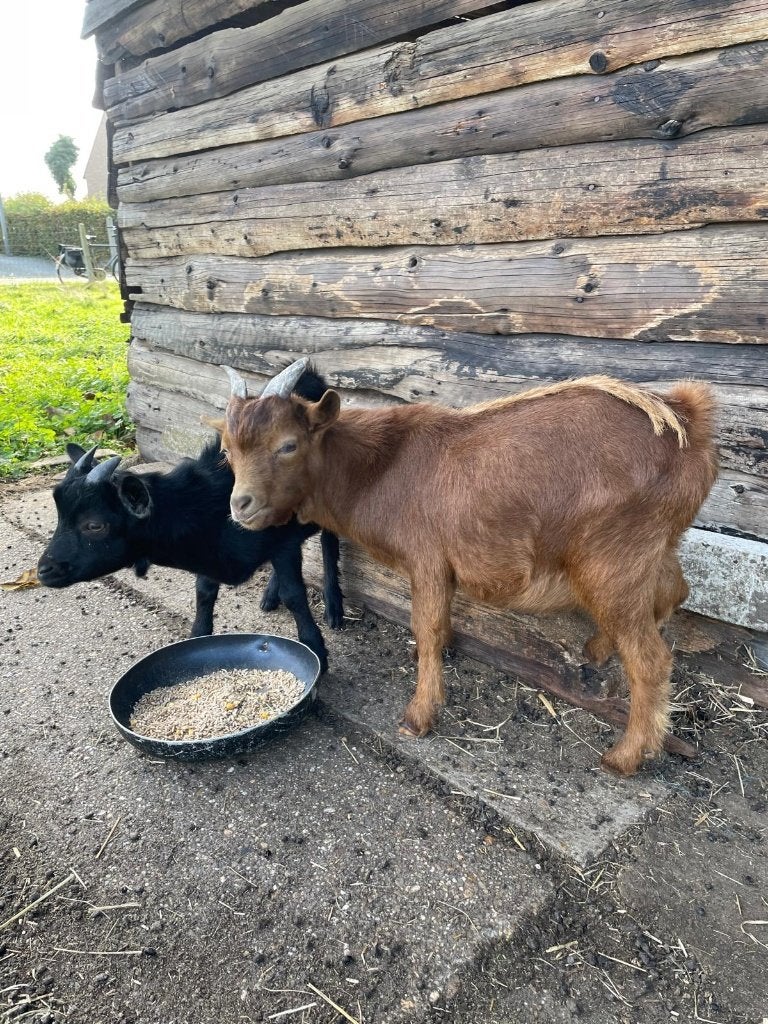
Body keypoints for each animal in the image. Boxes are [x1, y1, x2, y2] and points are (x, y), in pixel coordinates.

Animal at [38, 369, 344, 672]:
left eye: (94, 525)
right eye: (59, 517)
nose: (44, 570)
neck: (211, 504)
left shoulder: (282, 544)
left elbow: (295, 595)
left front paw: (316, 649)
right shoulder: (210, 548)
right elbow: (204, 592)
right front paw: (198, 636)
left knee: (329, 543)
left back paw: (334, 608)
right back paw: (270, 595)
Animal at [217, 359, 718, 776]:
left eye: (288, 445)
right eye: (227, 450)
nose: (240, 506)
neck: (382, 465)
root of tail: (687, 422)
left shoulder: (428, 560)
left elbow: (428, 626)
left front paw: (418, 717)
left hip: (613, 557)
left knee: (650, 659)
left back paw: (626, 756)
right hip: (652, 548)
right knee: (676, 592)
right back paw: (597, 649)